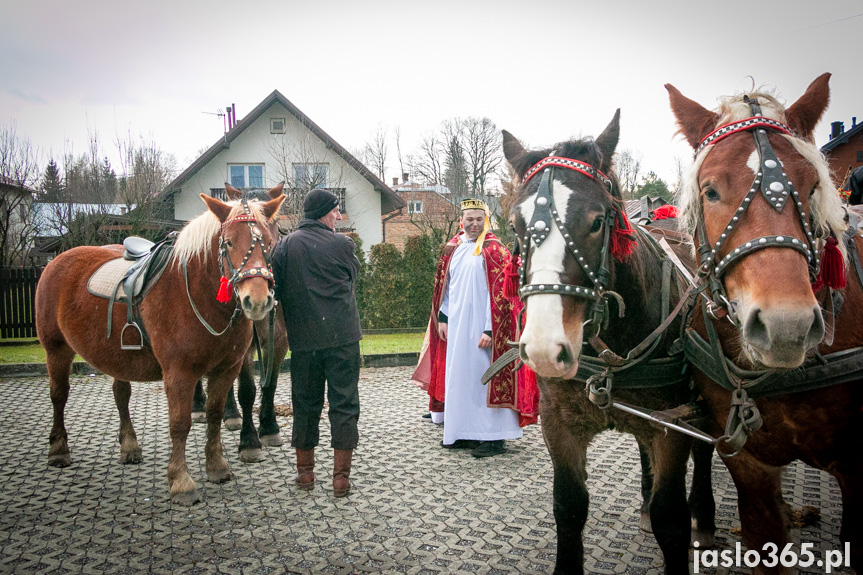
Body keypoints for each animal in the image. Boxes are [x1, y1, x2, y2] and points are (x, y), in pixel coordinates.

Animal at [36, 188, 284, 504]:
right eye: (228, 242)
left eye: (270, 243)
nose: (258, 300)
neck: (199, 293)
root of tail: (57, 260)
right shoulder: (179, 373)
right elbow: (180, 424)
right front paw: (181, 481)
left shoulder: (226, 369)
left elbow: (215, 415)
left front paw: (217, 466)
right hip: (56, 349)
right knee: (58, 396)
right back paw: (58, 450)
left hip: (116, 357)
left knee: (121, 395)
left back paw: (129, 446)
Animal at [506, 110, 716, 572]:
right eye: (516, 225)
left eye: (597, 221)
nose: (545, 348)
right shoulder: (558, 423)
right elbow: (569, 508)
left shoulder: (672, 424)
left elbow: (671, 519)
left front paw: (682, 518)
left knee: (705, 452)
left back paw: (705, 517)